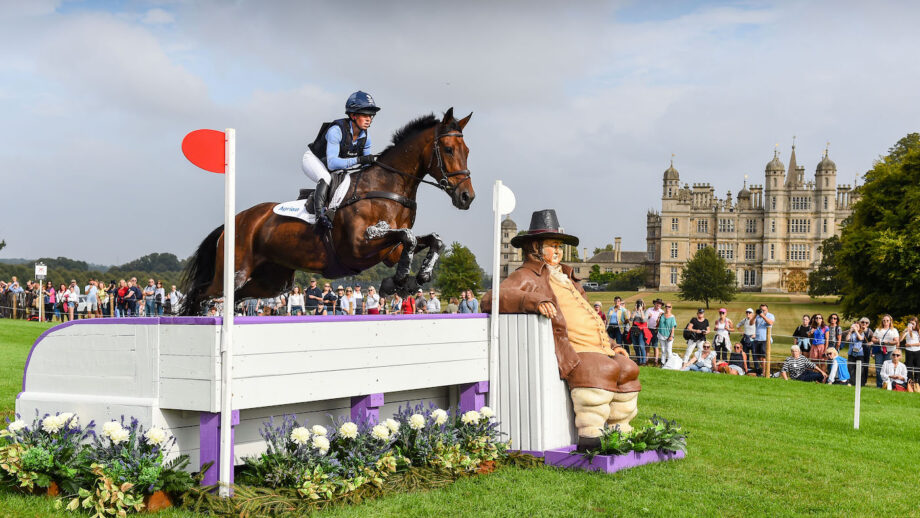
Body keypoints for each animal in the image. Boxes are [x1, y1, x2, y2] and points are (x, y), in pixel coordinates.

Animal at [183, 107, 478, 314]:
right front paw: (399, 282)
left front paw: (415, 279)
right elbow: (408, 237)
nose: (467, 197)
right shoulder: (358, 247)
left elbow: (427, 240)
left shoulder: (390, 251)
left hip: (273, 281)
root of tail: (235, 220)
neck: (388, 186)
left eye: (467, 150)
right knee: (202, 294)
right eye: (448, 149)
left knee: (235, 296)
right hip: (234, 271)